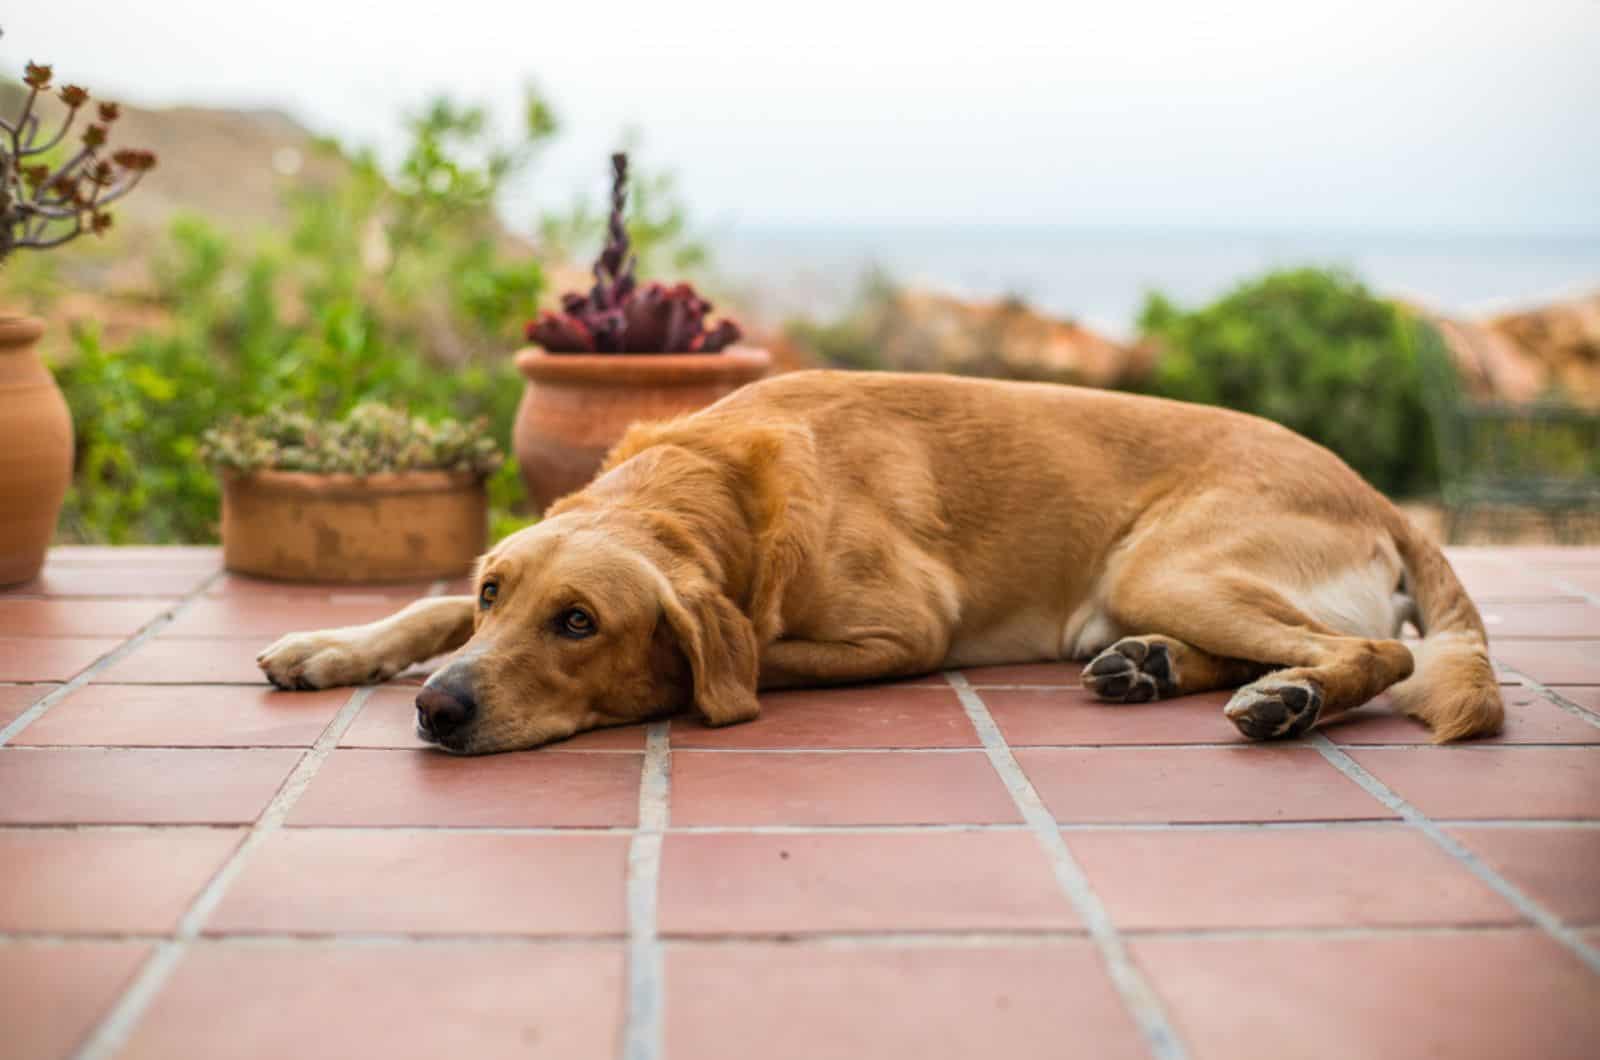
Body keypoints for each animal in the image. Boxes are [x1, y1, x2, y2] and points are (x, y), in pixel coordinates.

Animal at [259, 373, 1497, 755]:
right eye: (495, 594)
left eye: (578, 624)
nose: (439, 711)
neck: (716, 487)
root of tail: (1374, 491)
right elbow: (422, 607)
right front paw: (336, 643)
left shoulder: (902, 633)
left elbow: (739, 652)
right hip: (1144, 589)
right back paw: (1157, 669)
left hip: (1163, 563)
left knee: (1375, 649)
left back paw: (1287, 699)